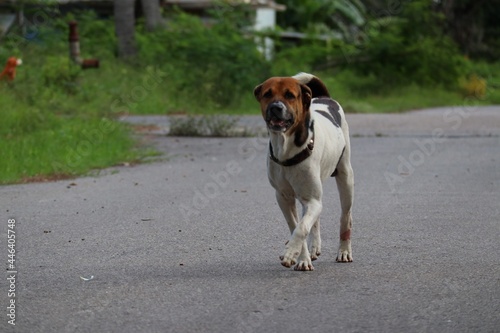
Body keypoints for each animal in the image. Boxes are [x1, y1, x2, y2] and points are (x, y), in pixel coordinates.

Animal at [254, 72, 356, 270]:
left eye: (290, 95)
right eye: (267, 94)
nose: (275, 107)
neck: (286, 148)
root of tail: (324, 97)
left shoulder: (312, 200)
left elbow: (301, 228)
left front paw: (290, 252)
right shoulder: (284, 198)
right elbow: (296, 226)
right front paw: (301, 257)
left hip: (345, 178)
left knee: (345, 217)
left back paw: (344, 251)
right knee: (313, 221)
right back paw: (314, 247)